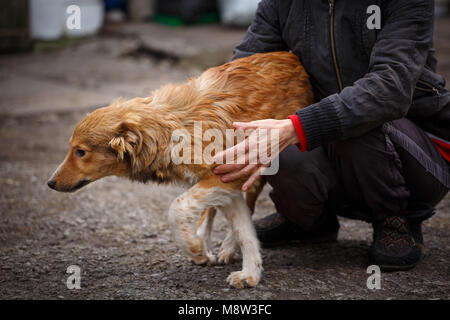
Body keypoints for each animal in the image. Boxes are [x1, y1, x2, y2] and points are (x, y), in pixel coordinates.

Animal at [46, 51, 312, 288]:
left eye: (80, 152)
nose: (50, 183)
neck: (169, 128)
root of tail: (293, 57)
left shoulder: (227, 176)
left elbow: (177, 208)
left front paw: (195, 249)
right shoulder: (226, 181)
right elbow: (243, 230)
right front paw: (250, 272)